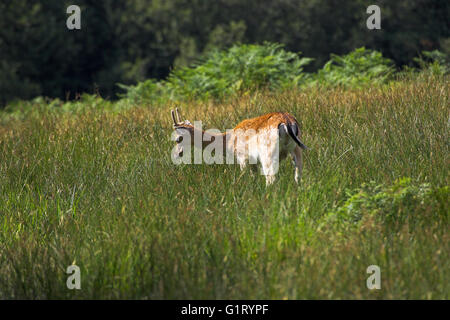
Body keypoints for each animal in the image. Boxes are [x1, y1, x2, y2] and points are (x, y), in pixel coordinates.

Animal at [171, 108, 308, 185]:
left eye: (178, 138)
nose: (177, 154)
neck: (229, 141)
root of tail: (287, 122)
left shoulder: (242, 157)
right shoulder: (253, 161)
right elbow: (253, 178)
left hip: (268, 152)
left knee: (271, 177)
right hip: (297, 149)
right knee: (298, 174)